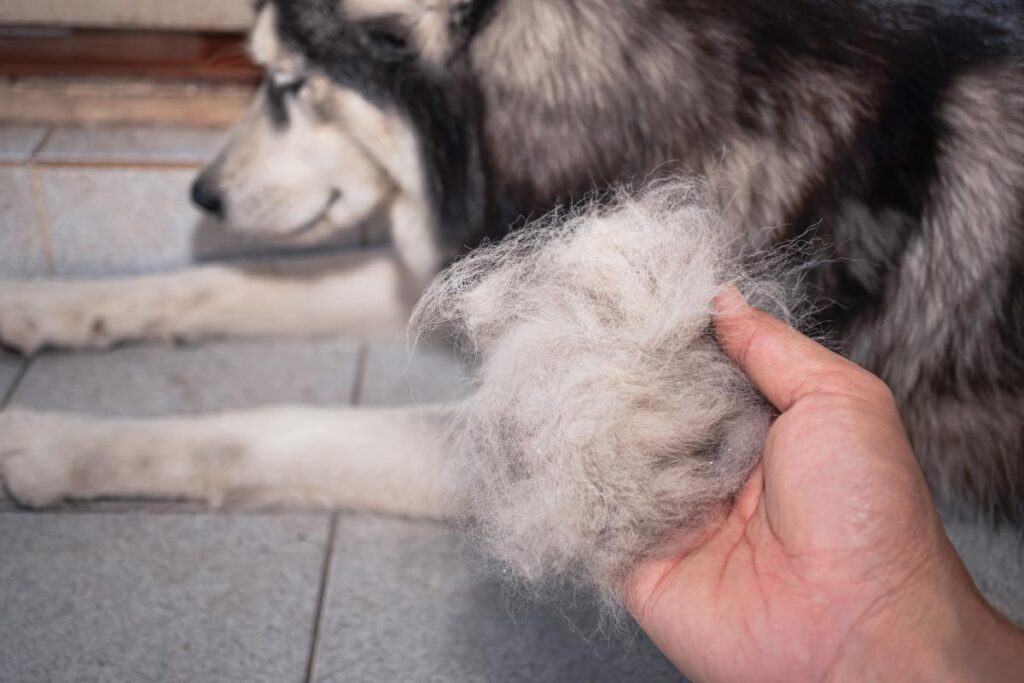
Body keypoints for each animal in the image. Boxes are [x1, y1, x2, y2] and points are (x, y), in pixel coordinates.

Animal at [2, 0, 1024, 520]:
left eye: (292, 84)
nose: (201, 195)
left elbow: (270, 431)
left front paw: (53, 443)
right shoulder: (475, 261)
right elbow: (221, 283)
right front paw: (43, 309)